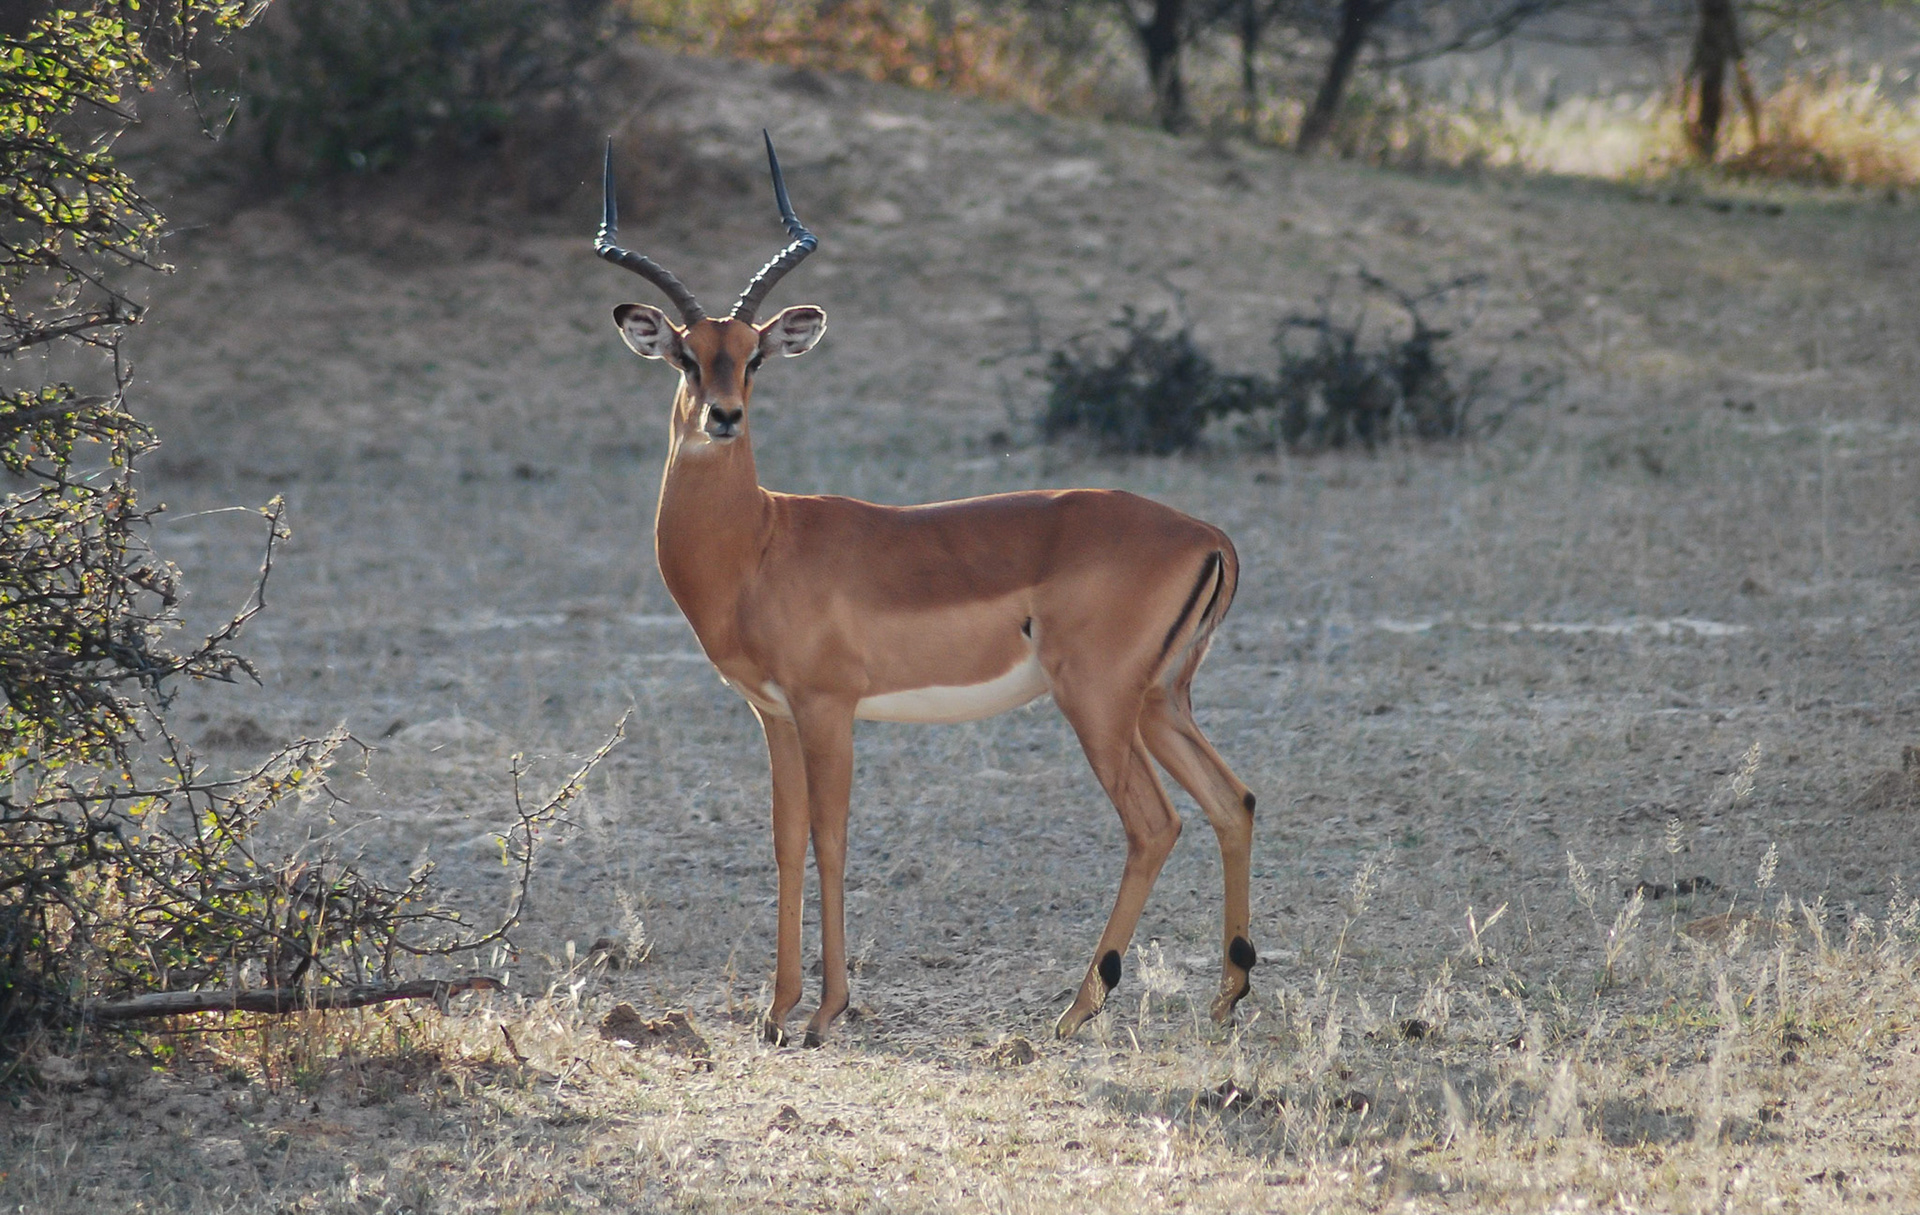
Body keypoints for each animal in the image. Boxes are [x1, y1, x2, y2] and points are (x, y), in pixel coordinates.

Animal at [598, 133, 1258, 1046]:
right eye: (687, 355)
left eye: (753, 356)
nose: (723, 416)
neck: (760, 541)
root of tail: (1206, 533)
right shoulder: (772, 712)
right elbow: (785, 839)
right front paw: (778, 1007)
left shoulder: (828, 708)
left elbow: (831, 839)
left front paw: (826, 1010)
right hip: (1160, 701)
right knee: (1235, 799)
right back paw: (1226, 995)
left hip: (1096, 702)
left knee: (1154, 823)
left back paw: (1076, 1008)